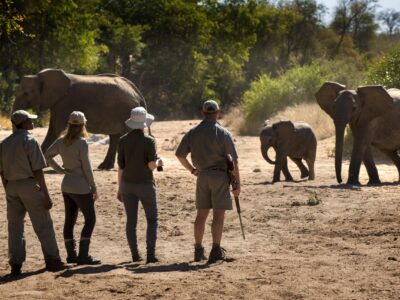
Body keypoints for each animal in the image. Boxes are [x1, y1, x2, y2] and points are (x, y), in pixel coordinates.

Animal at [12, 69, 147, 170]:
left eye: (26, 93)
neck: (40, 76)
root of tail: (138, 92)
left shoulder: (65, 102)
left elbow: (55, 130)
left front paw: (43, 164)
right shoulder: (57, 103)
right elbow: (53, 129)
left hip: (126, 111)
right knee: (114, 137)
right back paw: (104, 167)